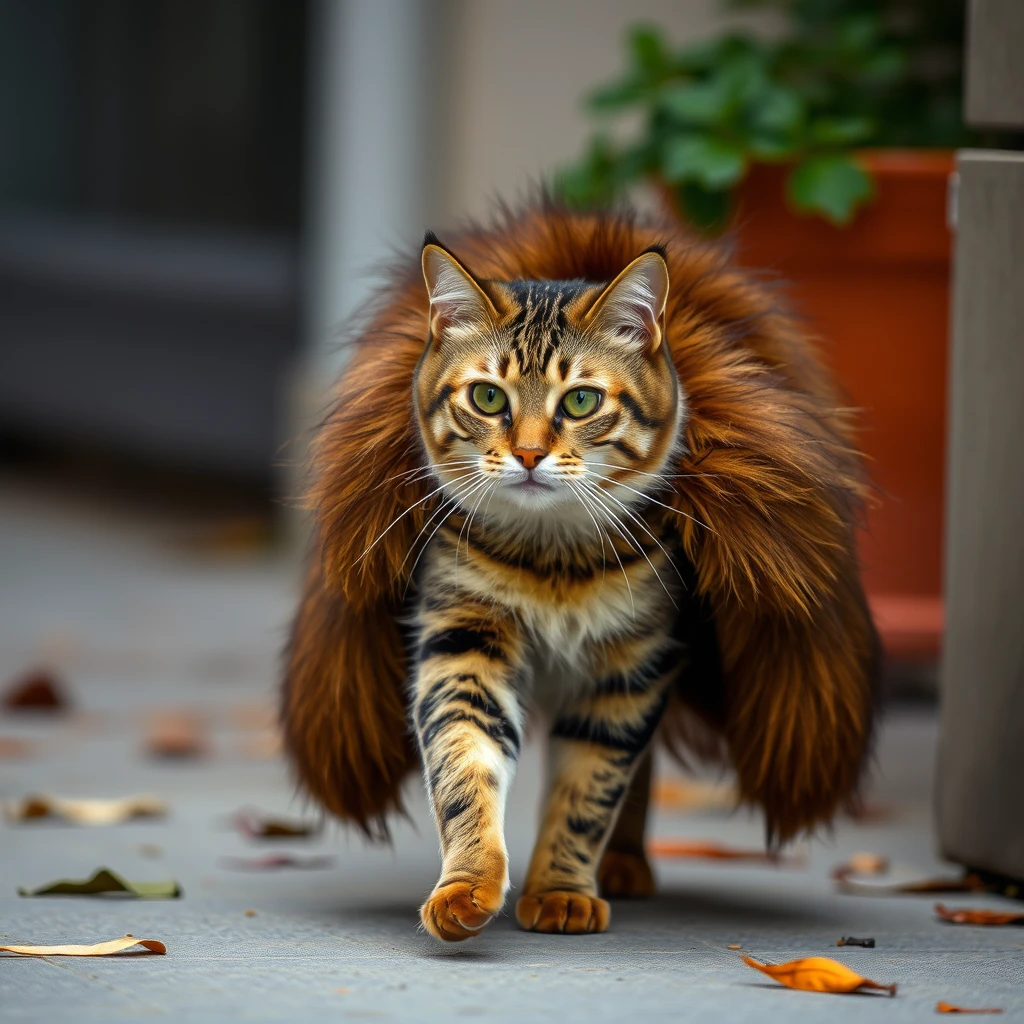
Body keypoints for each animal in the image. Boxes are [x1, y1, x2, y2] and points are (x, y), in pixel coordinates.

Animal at [282, 201, 880, 942]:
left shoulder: (632, 667)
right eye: (487, 398)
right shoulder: (463, 639)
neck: (552, 560)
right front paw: (469, 886)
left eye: (580, 403)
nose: (529, 454)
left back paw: (622, 865)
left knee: (638, 773)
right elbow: (464, 765)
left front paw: (562, 889)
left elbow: (589, 790)